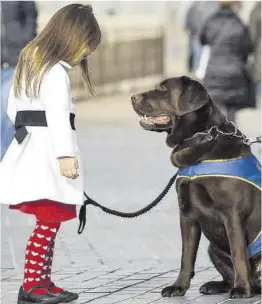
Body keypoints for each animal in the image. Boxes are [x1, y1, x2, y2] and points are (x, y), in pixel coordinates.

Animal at [132, 76, 260, 300]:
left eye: (163, 88)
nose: (133, 97)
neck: (200, 139)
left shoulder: (232, 214)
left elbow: (238, 254)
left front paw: (241, 289)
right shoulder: (187, 215)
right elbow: (186, 256)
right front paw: (178, 287)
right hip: (213, 248)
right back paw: (215, 285)